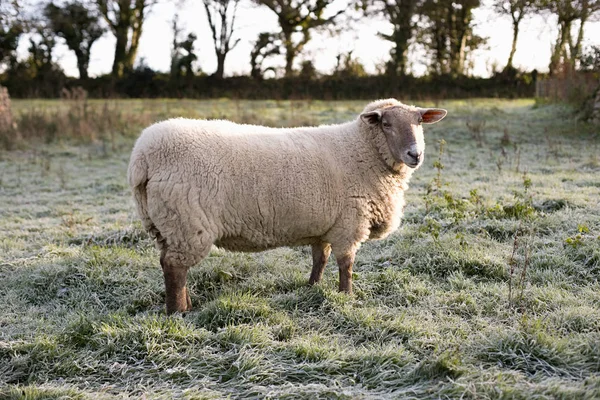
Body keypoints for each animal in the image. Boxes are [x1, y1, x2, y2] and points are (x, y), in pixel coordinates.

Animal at [127, 98, 446, 314]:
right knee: (174, 267)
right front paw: (346, 296)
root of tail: (142, 155)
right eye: (386, 124)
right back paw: (178, 312)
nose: (415, 154)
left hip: (164, 224)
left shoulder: (325, 224)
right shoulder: (349, 223)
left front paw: (312, 287)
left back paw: (187, 303)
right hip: (187, 222)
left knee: (171, 265)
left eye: (419, 122)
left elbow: (320, 259)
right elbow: (346, 264)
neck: (362, 151)